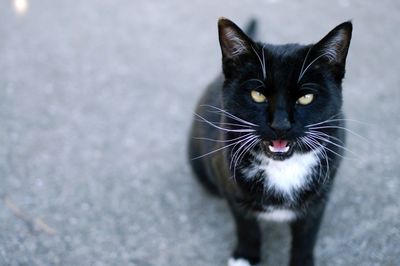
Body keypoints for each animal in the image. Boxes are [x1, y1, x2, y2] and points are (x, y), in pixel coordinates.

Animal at [188, 18, 350, 266]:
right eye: (258, 95)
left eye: (306, 97)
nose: (280, 124)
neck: (282, 167)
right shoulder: (231, 188)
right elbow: (247, 226)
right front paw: (245, 257)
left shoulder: (321, 195)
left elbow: (307, 235)